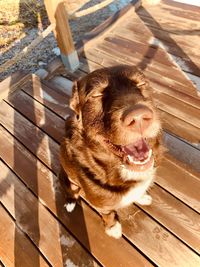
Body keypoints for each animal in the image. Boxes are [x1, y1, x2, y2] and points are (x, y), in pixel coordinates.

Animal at [59, 66, 162, 240]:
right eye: (96, 95)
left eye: (141, 83)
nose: (139, 117)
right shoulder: (102, 204)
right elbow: (108, 214)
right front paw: (113, 227)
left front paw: (142, 196)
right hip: (68, 179)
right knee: (70, 191)